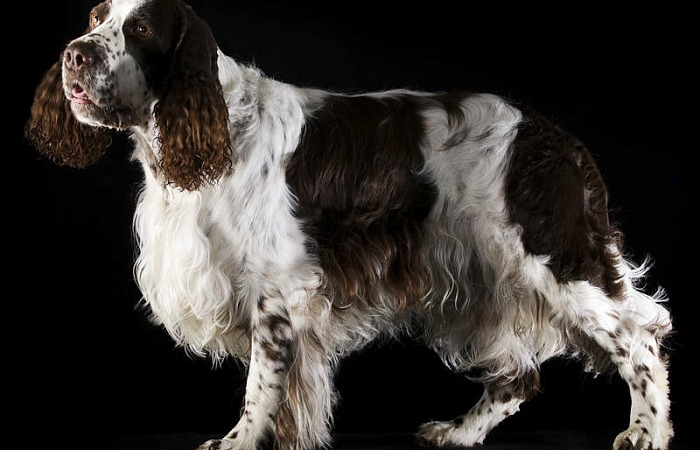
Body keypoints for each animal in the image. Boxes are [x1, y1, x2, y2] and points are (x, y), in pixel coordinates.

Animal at [24, 0, 676, 450]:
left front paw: (239, 442)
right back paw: (460, 433)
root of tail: (558, 139)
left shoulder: (277, 289)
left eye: (140, 30)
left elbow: (262, 383)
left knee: (639, 337)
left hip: (553, 258)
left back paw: (646, 431)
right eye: (96, 17)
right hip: (479, 277)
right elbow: (290, 391)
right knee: (519, 377)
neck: (218, 128)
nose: (74, 53)